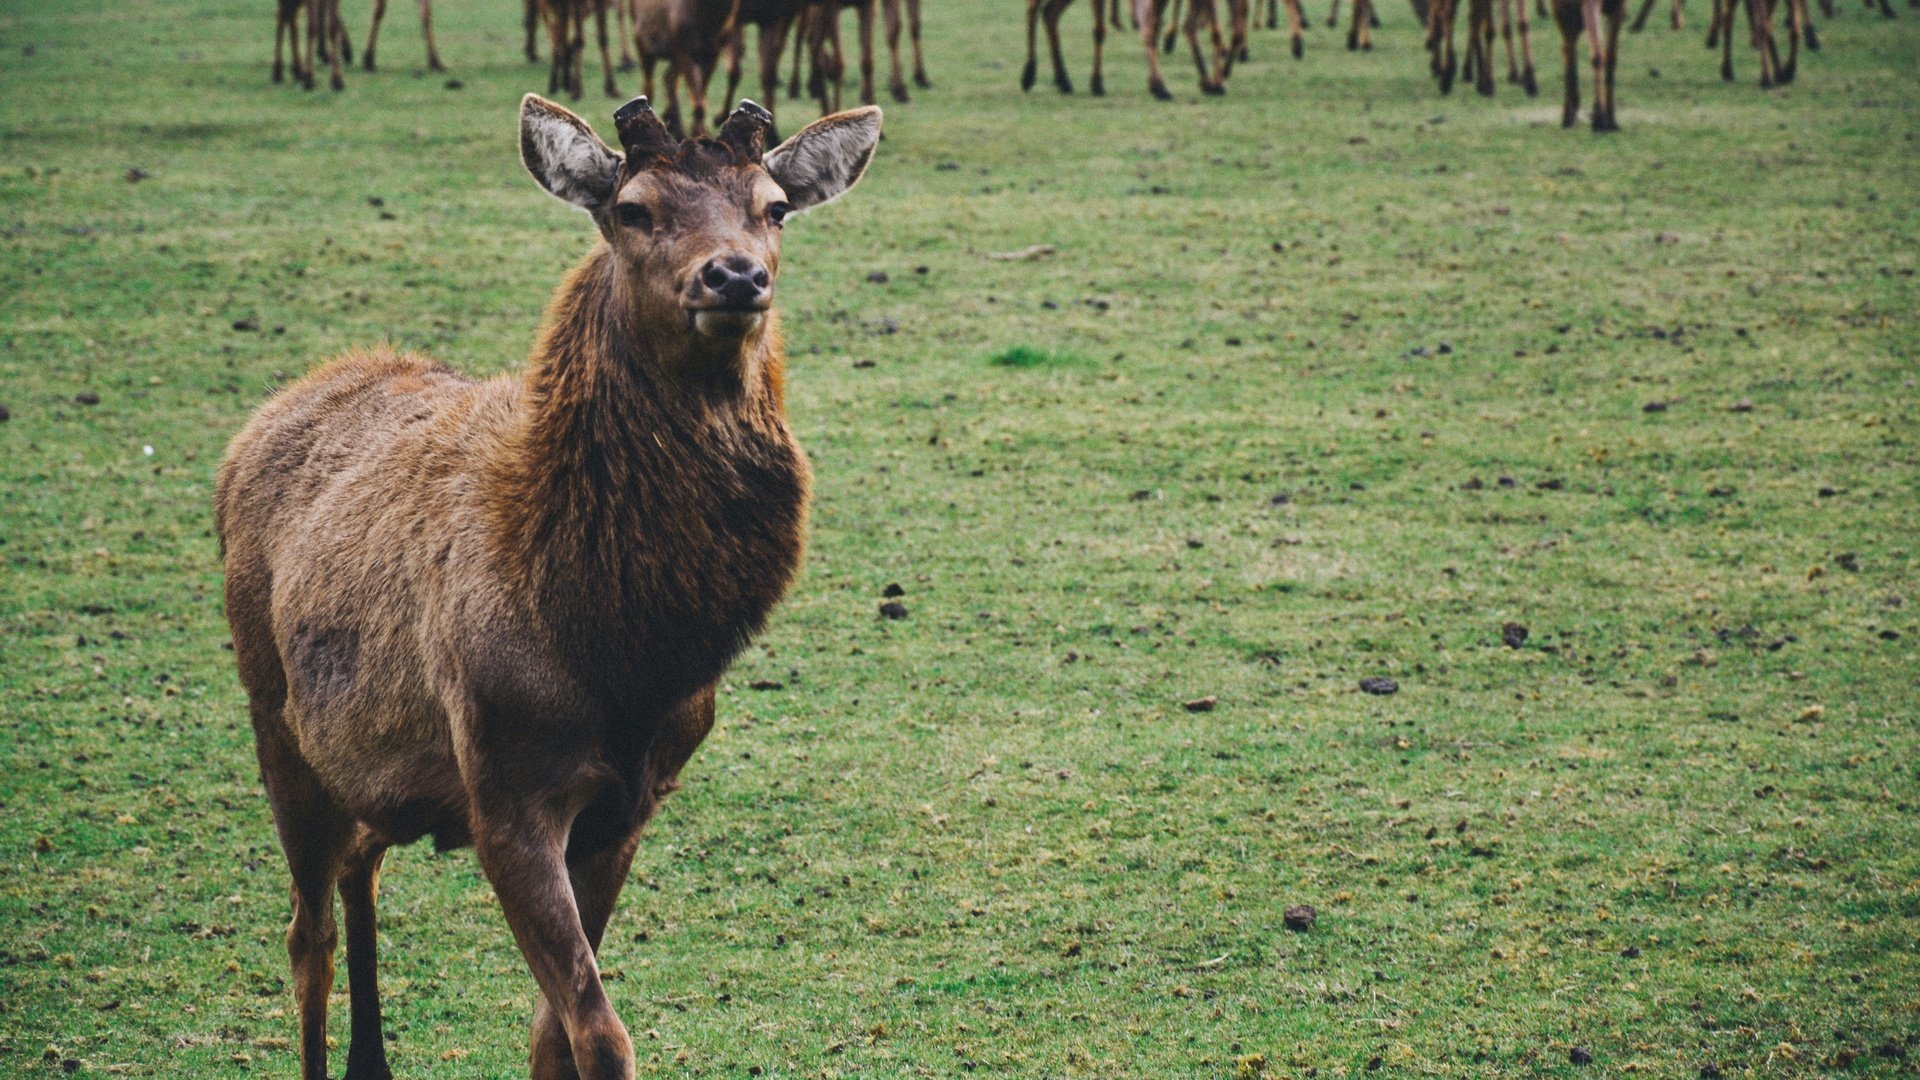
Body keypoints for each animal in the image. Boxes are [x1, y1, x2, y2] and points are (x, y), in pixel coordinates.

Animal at [219, 92, 883, 1076]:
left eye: (774, 207)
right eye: (633, 208)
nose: (735, 278)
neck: (617, 650)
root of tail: (262, 421)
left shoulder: (629, 804)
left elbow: (552, 1029)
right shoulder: (505, 791)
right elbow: (598, 1031)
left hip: (371, 759)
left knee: (360, 862)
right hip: (277, 720)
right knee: (307, 933)